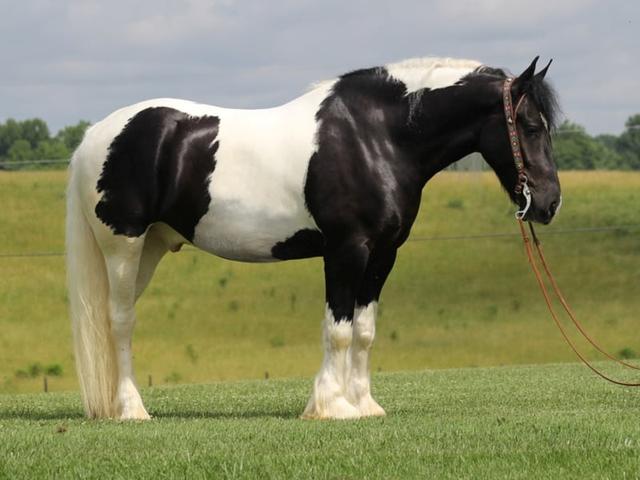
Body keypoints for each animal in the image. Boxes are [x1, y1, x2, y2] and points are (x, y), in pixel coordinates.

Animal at [66, 56, 561, 420]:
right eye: (531, 127)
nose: (549, 203)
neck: (377, 137)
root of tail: (95, 135)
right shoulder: (346, 250)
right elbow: (338, 329)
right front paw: (332, 406)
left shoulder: (383, 254)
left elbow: (364, 330)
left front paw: (365, 405)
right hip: (123, 246)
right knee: (120, 322)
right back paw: (132, 410)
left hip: (149, 248)